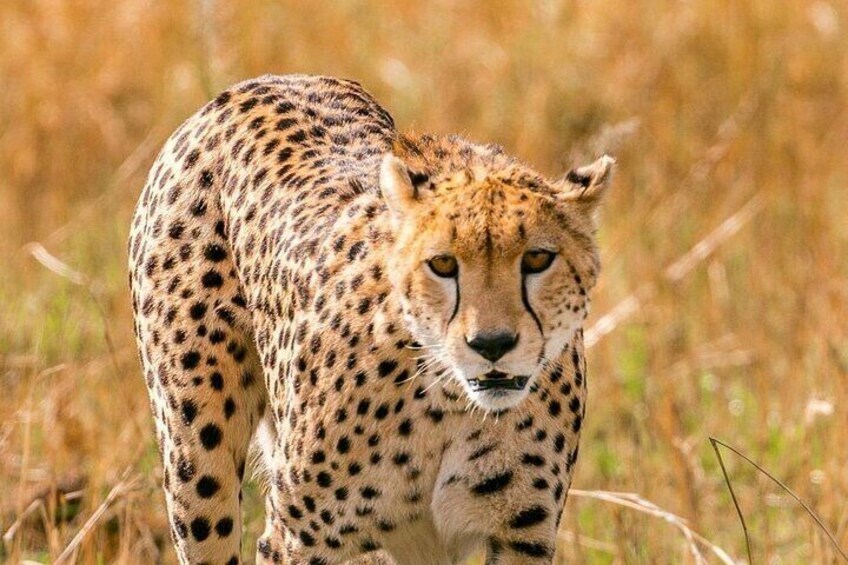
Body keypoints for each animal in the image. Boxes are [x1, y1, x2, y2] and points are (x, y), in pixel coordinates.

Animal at [128, 73, 614, 565]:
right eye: (442, 264)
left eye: (537, 259)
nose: (491, 344)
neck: (449, 405)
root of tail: (266, 81)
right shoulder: (297, 539)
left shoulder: (520, 537)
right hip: (197, 471)